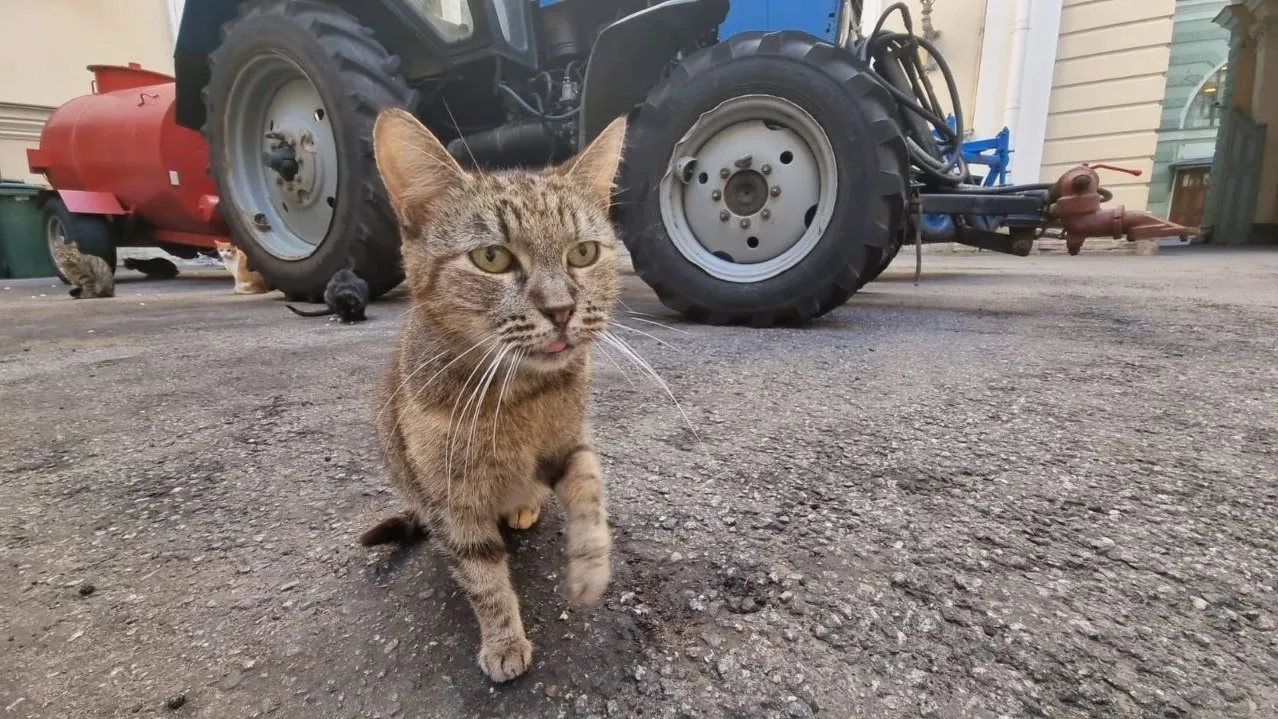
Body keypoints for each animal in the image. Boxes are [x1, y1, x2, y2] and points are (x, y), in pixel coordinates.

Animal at [362, 108, 626, 684]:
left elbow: (591, 489)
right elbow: (482, 576)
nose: (560, 309)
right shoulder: (451, 498)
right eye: (492, 257)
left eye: (583, 252)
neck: (519, 395)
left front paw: (591, 569)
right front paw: (504, 640)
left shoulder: (569, 442)